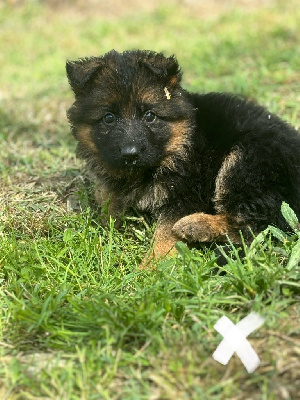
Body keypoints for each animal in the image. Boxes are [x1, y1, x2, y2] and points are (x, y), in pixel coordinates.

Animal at [65, 49, 300, 260]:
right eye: (108, 118)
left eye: (149, 116)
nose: (130, 154)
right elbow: (106, 196)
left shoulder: (186, 194)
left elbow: (163, 237)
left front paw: (149, 270)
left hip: (245, 161)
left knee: (256, 224)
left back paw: (195, 226)